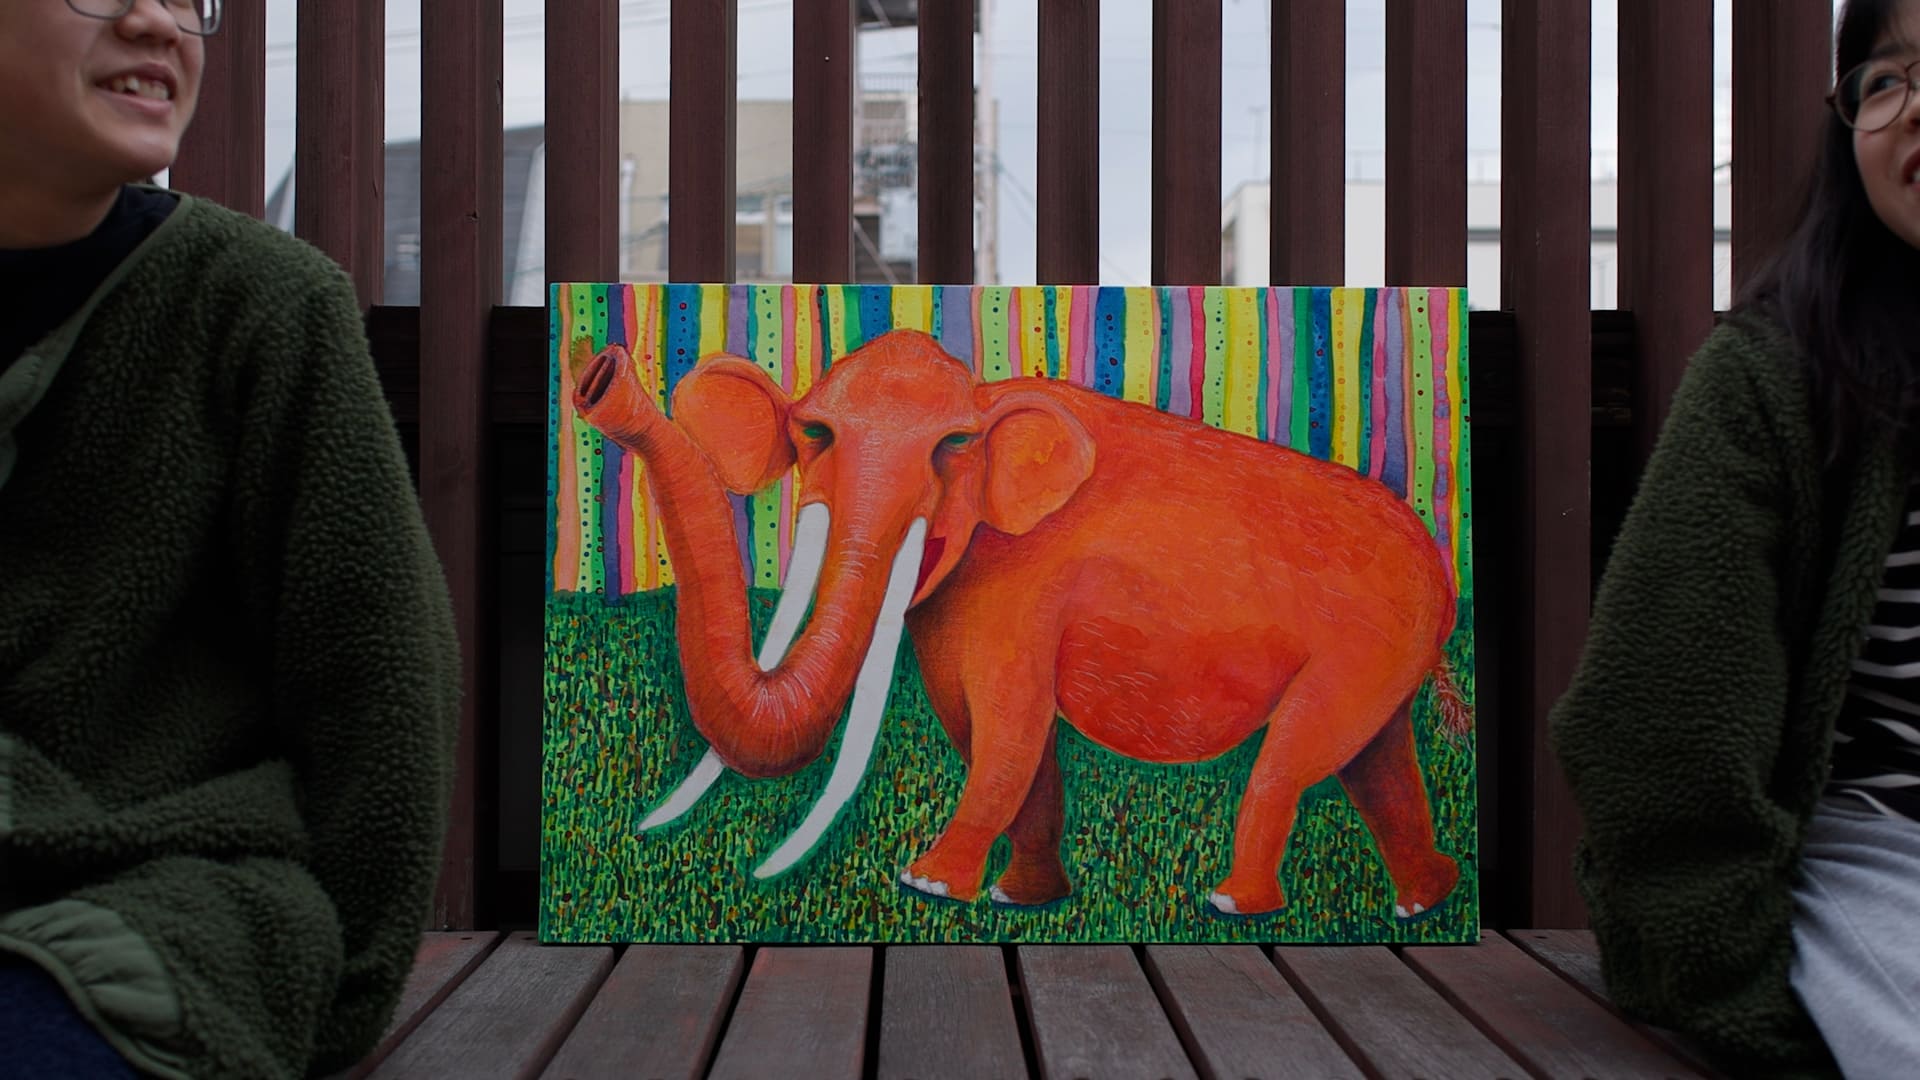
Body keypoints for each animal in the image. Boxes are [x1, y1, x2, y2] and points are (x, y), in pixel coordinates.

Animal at [571, 327, 1469, 919]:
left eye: (953, 446)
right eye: (814, 433)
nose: (599, 376)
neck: (988, 395)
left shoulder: (1028, 587)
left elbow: (1010, 726)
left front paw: (930, 884)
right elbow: (987, 733)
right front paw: (1015, 899)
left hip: (1371, 640)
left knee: (1297, 756)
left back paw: (1234, 906)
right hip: (1387, 652)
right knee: (1375, 760)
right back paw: (1424, 904)